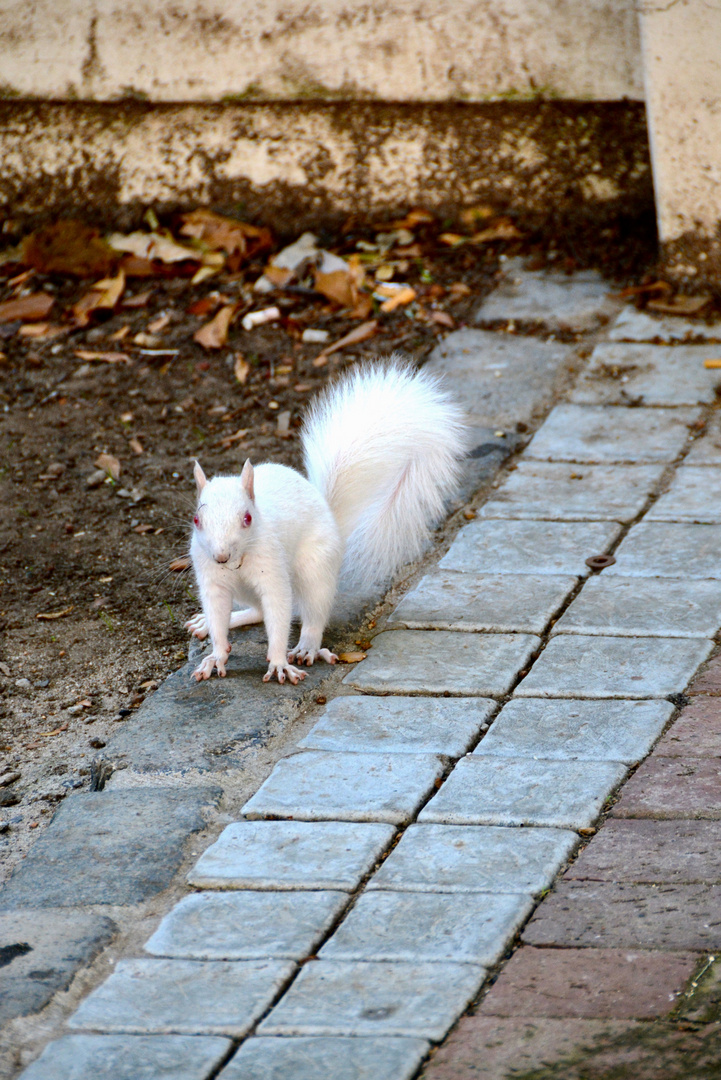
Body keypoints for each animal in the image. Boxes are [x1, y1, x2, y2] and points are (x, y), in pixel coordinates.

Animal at [185, 360, 468, 682]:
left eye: (247, 518)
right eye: (196, 519)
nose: (221, 556)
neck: (237, 563)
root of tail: (328, 513)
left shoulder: (272, 571)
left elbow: (279, 612)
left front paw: (279, 662)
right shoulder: (211, 579)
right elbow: (219, 615)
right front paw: (215, 655)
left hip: (315, 567)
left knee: (310, 611)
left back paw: (307, 646)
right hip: (246, 590)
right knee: (256, 611)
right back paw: (207, 623)